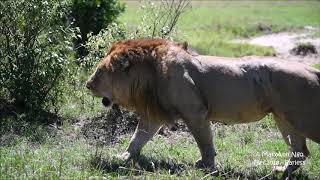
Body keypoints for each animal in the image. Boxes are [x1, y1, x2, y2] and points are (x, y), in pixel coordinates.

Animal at [85, 38, 320, 177]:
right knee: (300, 150)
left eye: (99, 71)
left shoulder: (195, 112)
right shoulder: (154, 115)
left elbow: (204, 142)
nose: (87, 85)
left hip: (305, 119)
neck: (148, 75)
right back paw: (282, 171)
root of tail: (312, 69)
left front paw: (206, 166)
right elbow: (137, 138)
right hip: (285, 119)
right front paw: (122, 157)